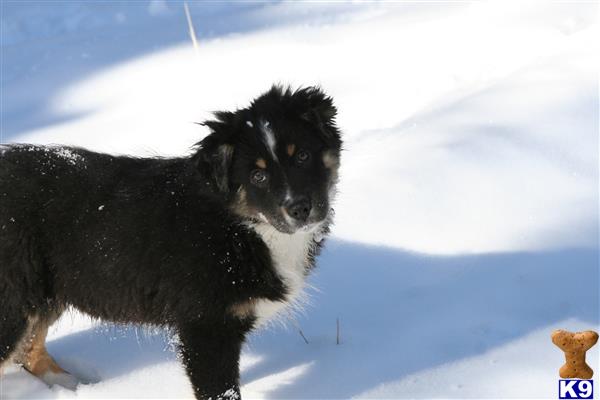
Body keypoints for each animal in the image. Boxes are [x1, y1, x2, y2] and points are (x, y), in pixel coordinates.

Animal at [0, 86, 342, 398]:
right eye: (258, 176)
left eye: (302, 156)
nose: (300, 209)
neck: (242, 227)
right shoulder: (206, 326)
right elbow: (221, 391)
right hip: (15, 299)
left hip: (43, 294)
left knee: (29, 351)